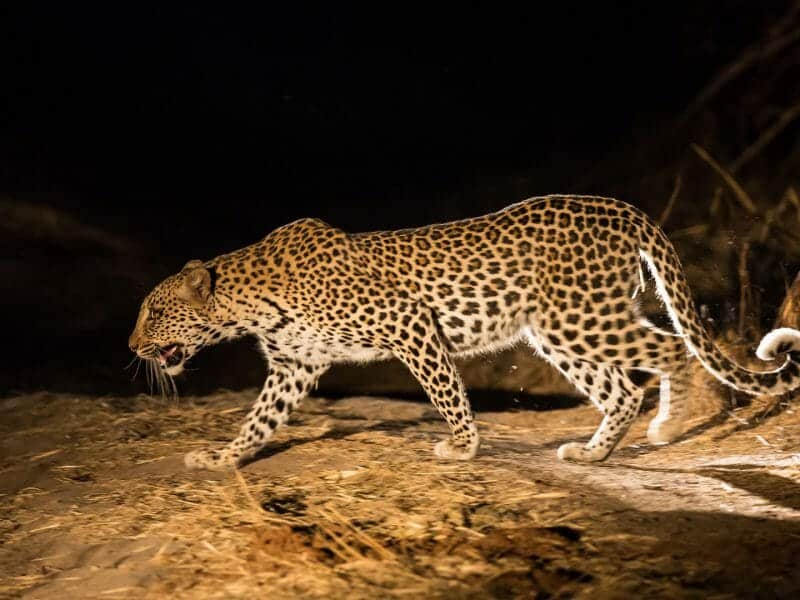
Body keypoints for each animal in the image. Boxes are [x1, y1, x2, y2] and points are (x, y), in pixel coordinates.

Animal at [128, 195, 800, 471]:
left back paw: (667, 425)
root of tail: (624, 208)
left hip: (578, 318)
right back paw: (593, 452)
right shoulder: (295, 365)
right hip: (557, 329)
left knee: (669, 351)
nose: (131, 346)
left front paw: (463, 447)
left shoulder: (408, 322)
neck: (248, 301)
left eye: (153, 313)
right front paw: (223, 458)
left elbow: (446, 390)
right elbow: (258, 420)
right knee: (621, 389)